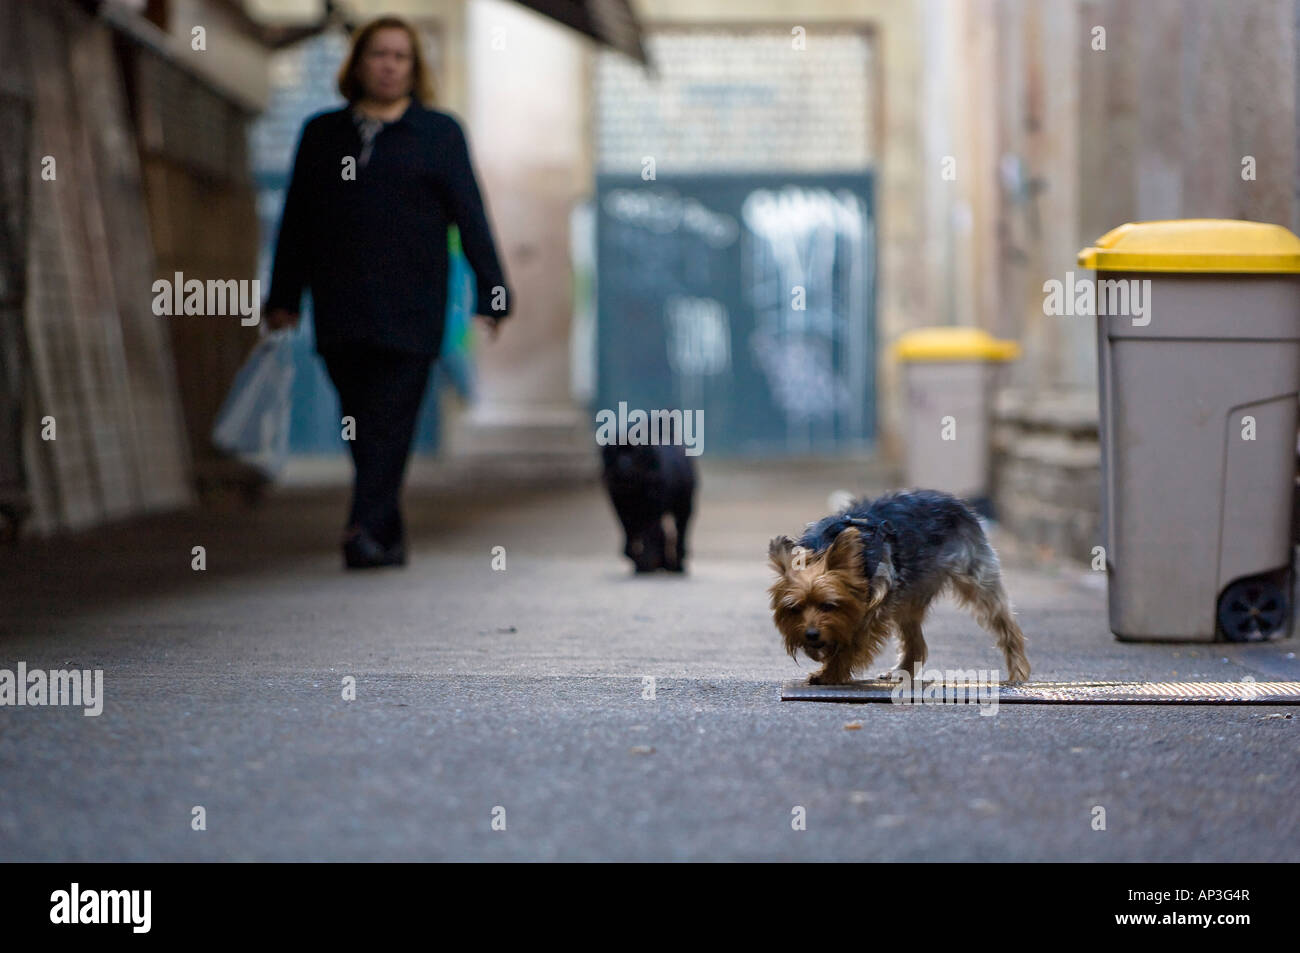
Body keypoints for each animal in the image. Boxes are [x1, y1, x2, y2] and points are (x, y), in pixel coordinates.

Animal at [600, 444, 696, 572]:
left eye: (635, 452)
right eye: (616, 451)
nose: (624, 466)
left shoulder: (652, 511)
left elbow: (649, 534)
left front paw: (647, 560)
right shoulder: (622, 510)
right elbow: (631, 534)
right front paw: (639, 560)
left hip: (683, 508)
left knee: (680, 533)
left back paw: (675, 564)